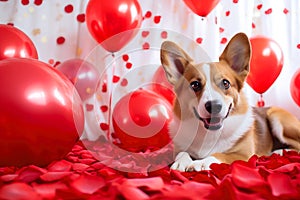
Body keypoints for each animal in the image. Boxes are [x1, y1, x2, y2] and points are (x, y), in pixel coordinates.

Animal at [161, 33, 298, 172]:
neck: (209, 134)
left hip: (277, 117)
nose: (214, 106)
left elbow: (219, 154)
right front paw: (181, 162)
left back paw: (280, 151)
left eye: (225, 83)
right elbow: (182, 153)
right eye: (195, 85)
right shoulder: (179, 149)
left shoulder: (243, 155)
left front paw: (201, 163)